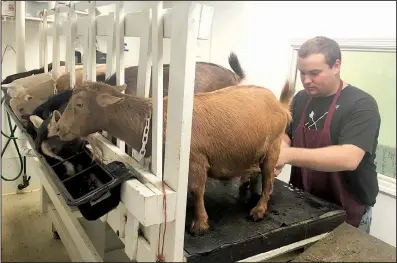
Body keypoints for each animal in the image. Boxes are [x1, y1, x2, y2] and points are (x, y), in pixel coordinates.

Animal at [50, 79, 294, 236]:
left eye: (79, 104)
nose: (59, 129)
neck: (154, 123)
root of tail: (281, 104)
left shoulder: (196, 161)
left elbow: (197, 190)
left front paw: (200, 224)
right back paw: (246, 183)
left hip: (274, 147)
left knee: (269, 178)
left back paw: (259, 210)